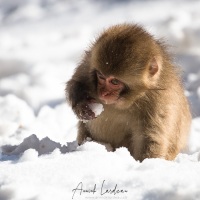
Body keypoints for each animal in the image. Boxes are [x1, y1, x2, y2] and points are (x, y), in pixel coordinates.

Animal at [65, 23, 191, 161]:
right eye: (101, 77)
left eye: (115, 81)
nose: (103, 93)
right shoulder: (89, 62)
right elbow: (76, 82)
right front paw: (83, 106)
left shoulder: (160, 101)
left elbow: (150, 137)